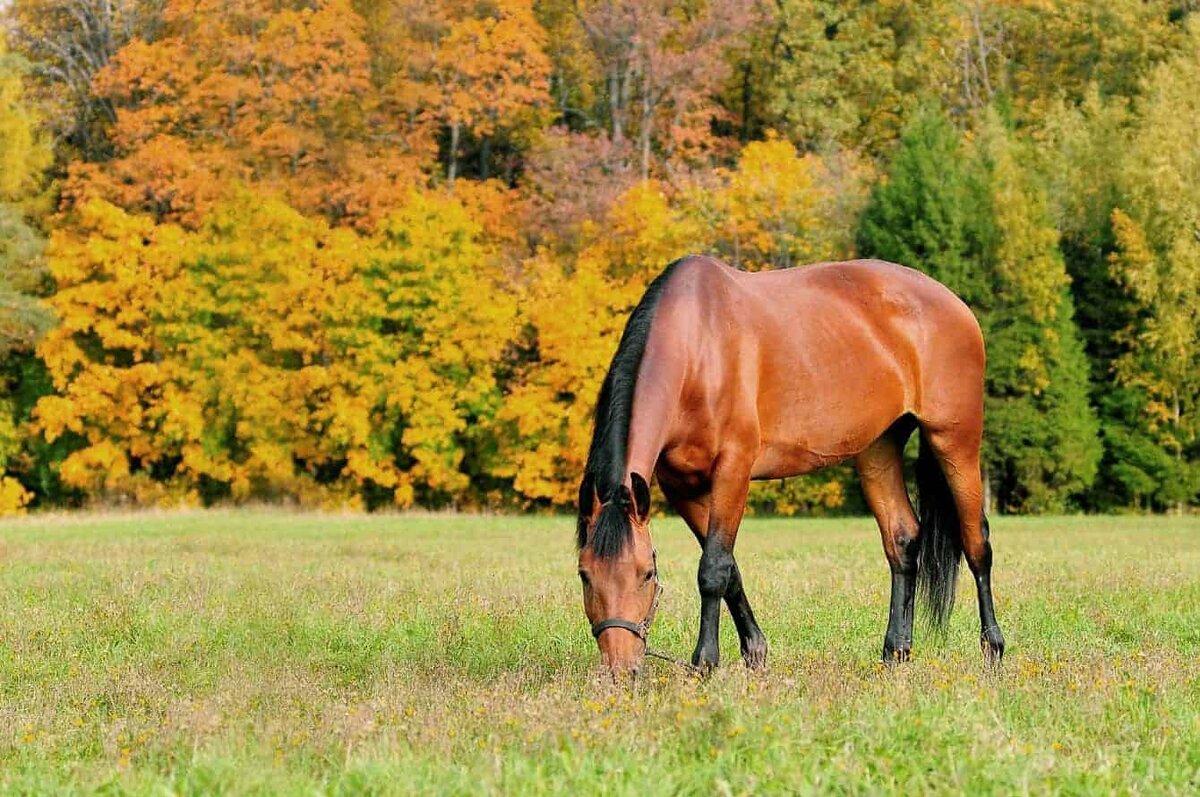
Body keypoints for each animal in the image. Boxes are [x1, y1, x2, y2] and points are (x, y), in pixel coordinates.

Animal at [576, 256, 1008, 676]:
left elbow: (713, 569)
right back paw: (896, 653)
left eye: (646, 573)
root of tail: (952, 303)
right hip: (878, 449)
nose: (621, 670)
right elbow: (730, 569)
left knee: (977, 542)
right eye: (584, 574)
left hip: (954, 441)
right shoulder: (682, 487)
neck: (698, 347)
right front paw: (754, 653)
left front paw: (705, 663)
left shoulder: (733, 471)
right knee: (902, 539)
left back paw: (993, 650)